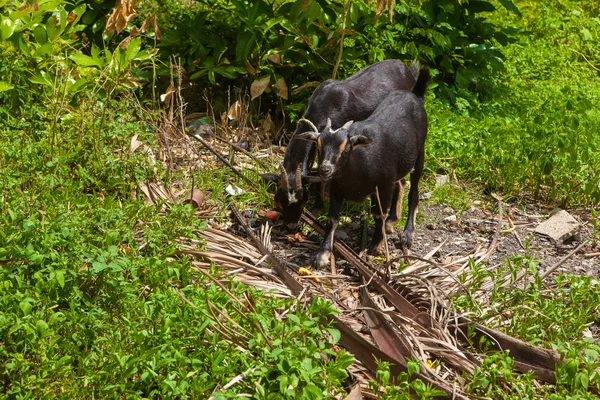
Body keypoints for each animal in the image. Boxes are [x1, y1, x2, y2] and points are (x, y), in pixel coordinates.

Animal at [260, 57, 420, 230]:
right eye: (279, 201)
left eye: (303, 200)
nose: (291, 225)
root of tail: (409, 70)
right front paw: (318, 205)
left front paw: (318, 207)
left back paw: (391, 220)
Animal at [294, 69, 426, 268]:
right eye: (319, 146)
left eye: (346, 148)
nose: (325, 169)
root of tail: (414, 95)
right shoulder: (337, 189)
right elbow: (332, 220)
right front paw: (322, 255)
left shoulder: (384, 185)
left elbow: (378, 214)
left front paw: (375, 246)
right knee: (402, 184)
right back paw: (391, 223)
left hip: (420, 155)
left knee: (414, 193)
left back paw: (407, 235)